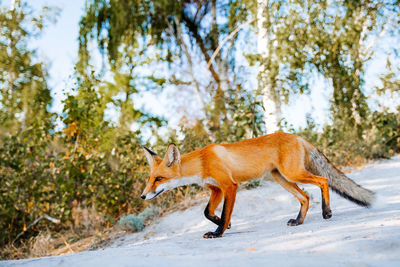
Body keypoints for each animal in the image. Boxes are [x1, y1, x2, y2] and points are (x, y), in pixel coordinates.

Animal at [141, 133, 376, 240]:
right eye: (150, 178)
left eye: (158, 179)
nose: (143, 196)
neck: (202, 162)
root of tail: (296, 136)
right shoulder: (216, 189)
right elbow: (208, 212)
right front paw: (225, 225)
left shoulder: (230, 186)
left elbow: (223, 214)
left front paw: (219, 232)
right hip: (282, 178)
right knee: (306, 197)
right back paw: (299, 221)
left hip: (293, 174)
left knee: (323, 181)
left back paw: (326, 211)